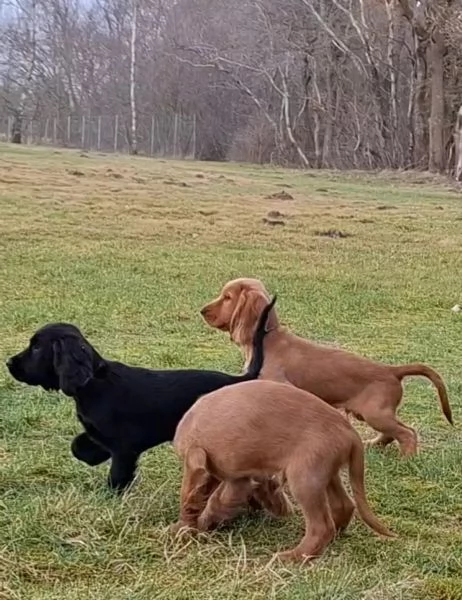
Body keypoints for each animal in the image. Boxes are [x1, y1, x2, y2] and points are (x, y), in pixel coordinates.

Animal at [171, 380, 396, 564]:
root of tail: (351, 433)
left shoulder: (233, 475)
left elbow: (210, 499)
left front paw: (192, 525)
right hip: (324, 471)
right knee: (344, 506)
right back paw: (333, 537)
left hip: (304, 478)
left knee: (322, 527)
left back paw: (293, 556)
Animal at [201, 278, 452, 458]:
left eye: (227, 297)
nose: (202, 311)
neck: (267, 339)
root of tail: (391, 370)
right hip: (374, 414)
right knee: (393, 433)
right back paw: (373, 444)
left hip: (376, 413)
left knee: (407, 433)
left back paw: (407, 458)